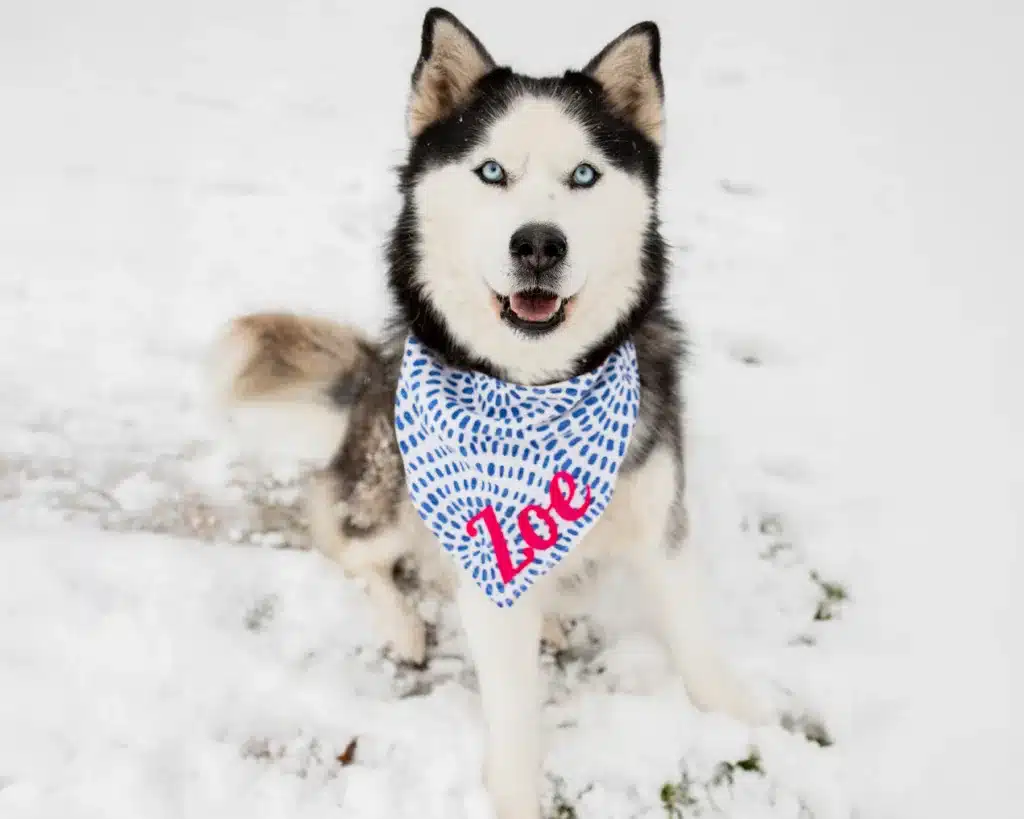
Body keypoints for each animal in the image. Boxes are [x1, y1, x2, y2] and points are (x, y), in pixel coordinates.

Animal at [207, 7, 770, 818]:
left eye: (584, 174)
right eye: (492, 172)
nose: (538, 243)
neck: (538, 387)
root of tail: (372, 371)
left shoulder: (663, 522)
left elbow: (693, 634)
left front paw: (741, 716)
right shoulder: (486, 568)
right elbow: (512, 706)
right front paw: (514, 793)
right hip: (388, 490)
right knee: (352, 548)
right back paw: (402, 622)